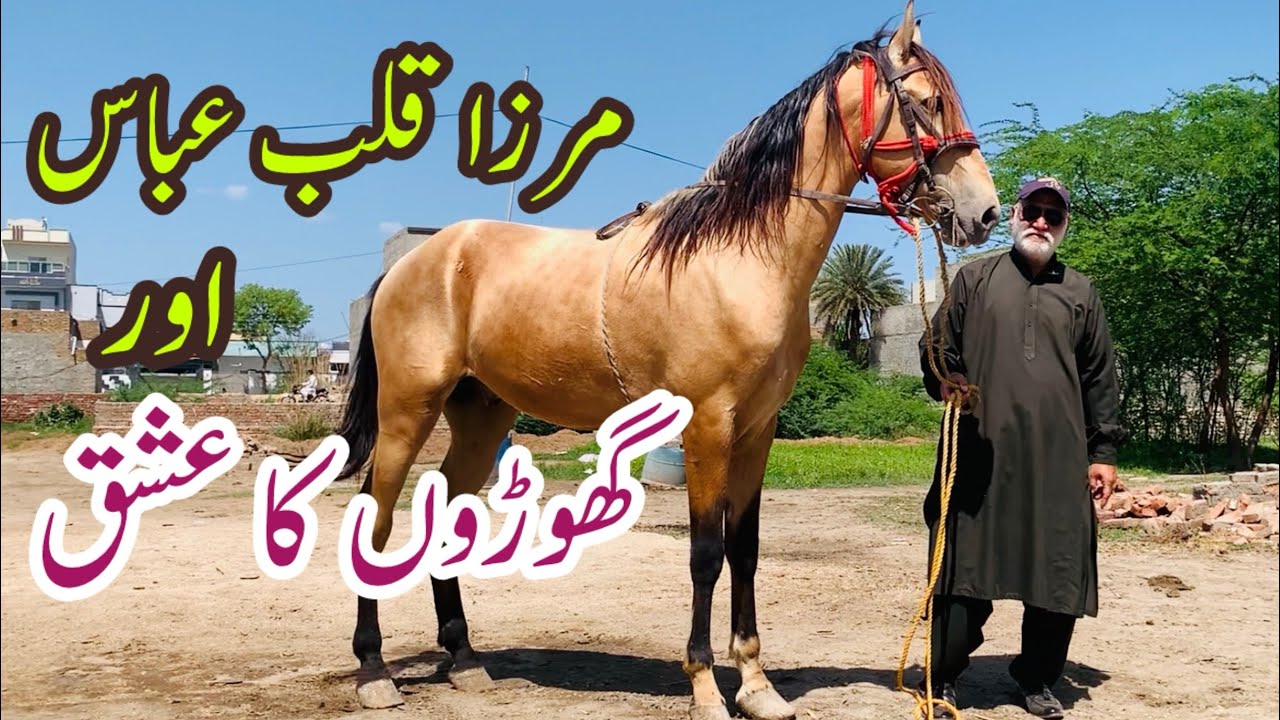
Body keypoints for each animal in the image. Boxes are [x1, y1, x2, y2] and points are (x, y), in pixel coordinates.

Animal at [334, 2, 1000, 718]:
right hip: (408, 411)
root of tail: (415, 262)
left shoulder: (756, 431)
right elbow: (706, 555)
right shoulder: (708, 425)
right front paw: (706, 687)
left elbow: (745, 549)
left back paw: (464, 661)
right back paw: (374, 671)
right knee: (374, 522)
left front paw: (758, 686)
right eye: (927, 102)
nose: (984, 211)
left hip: (481, 419)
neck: (740, 257)